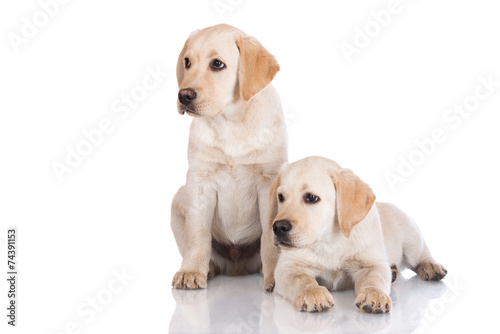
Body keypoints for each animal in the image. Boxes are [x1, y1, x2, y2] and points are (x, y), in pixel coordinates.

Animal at [172, 24, 288, 290]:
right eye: (187, 62)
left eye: (217, 64)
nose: (184, 96)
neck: (231, 122)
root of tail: (237, 266)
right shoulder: (200, 181)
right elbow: (197, 234)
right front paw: (191, 271)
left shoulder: (269, 181)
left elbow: (269, 238)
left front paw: (274, 276)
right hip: (179, 198)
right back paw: (207, 268)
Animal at [272, 157, 448, 314]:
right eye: (281, 197)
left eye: (311, 197)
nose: (278, 227)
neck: (330, 241)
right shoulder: (287, 266)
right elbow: (301, 279)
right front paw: (313, 292)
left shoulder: (371, 263)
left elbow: (374, 278)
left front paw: (375, 295)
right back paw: (393, 272)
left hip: (411, 238)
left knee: (421, 254)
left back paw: (431, 266)